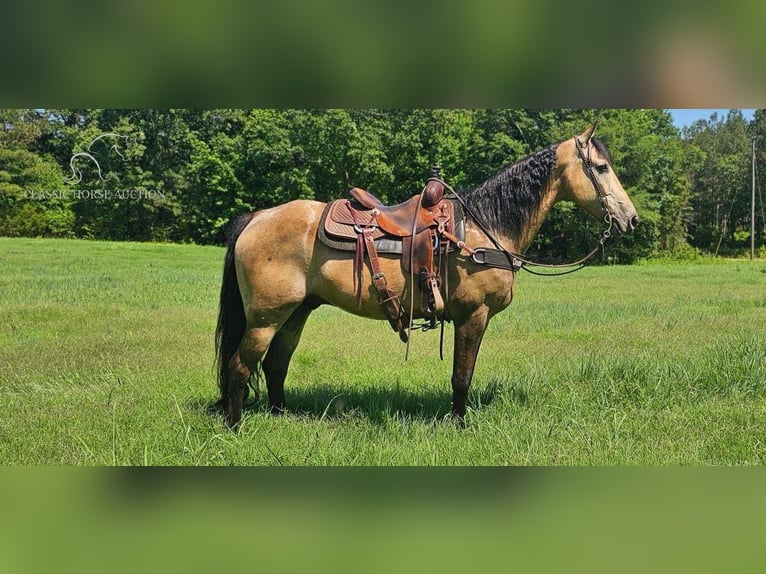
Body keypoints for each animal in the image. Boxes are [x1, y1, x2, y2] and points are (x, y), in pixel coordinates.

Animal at [213, 122, 640, 428]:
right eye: (601, 167)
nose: (631, 219)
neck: (484, 228)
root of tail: (257, 218)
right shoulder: (472, 316)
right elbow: (461, 376)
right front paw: (459, 425)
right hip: (265, 317)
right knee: (240, 366)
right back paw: (235, 427)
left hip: (296, 312)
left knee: (275, 365)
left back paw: (280, 416)